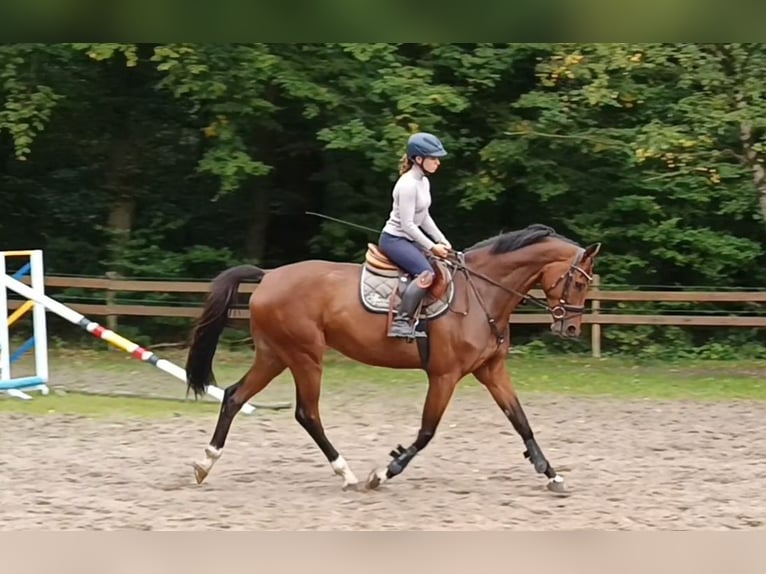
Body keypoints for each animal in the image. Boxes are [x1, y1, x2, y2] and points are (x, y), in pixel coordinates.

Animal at [184, 225, 600, 496]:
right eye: (579, 282)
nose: (572, 328)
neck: (481, 293)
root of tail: (269, 276)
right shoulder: (444, 375)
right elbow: (427, 431)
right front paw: (385, 472)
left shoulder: (491, 370)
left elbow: (521, 422)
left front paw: (552, 475)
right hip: (304, 357)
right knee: (307, 413)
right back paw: (348, 474)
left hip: (275, 355)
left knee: (235, 396)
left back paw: (205, 464)